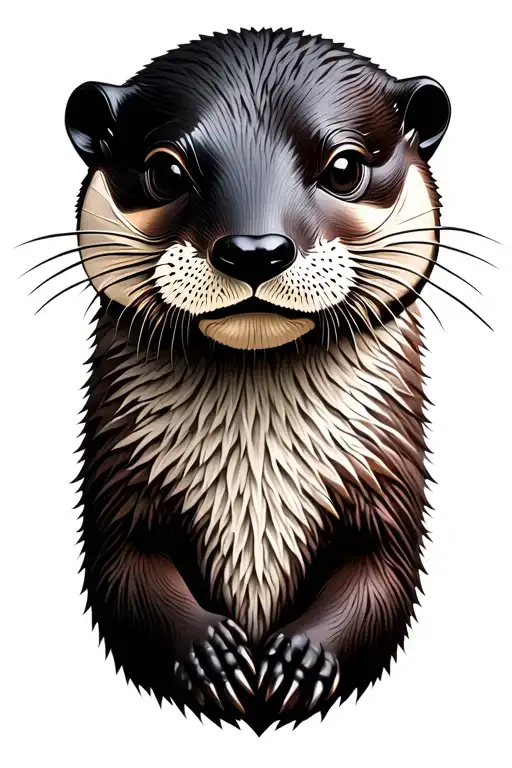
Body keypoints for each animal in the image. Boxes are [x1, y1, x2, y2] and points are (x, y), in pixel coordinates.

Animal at [46, 28, 455, 733]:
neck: (256, 486)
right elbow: (123, 569)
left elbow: (383, 571)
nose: (256, 250)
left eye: (344, 167)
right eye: (165, 170)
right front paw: (213, 659)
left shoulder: (388, 481)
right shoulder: (118, 478)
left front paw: (300, 662)